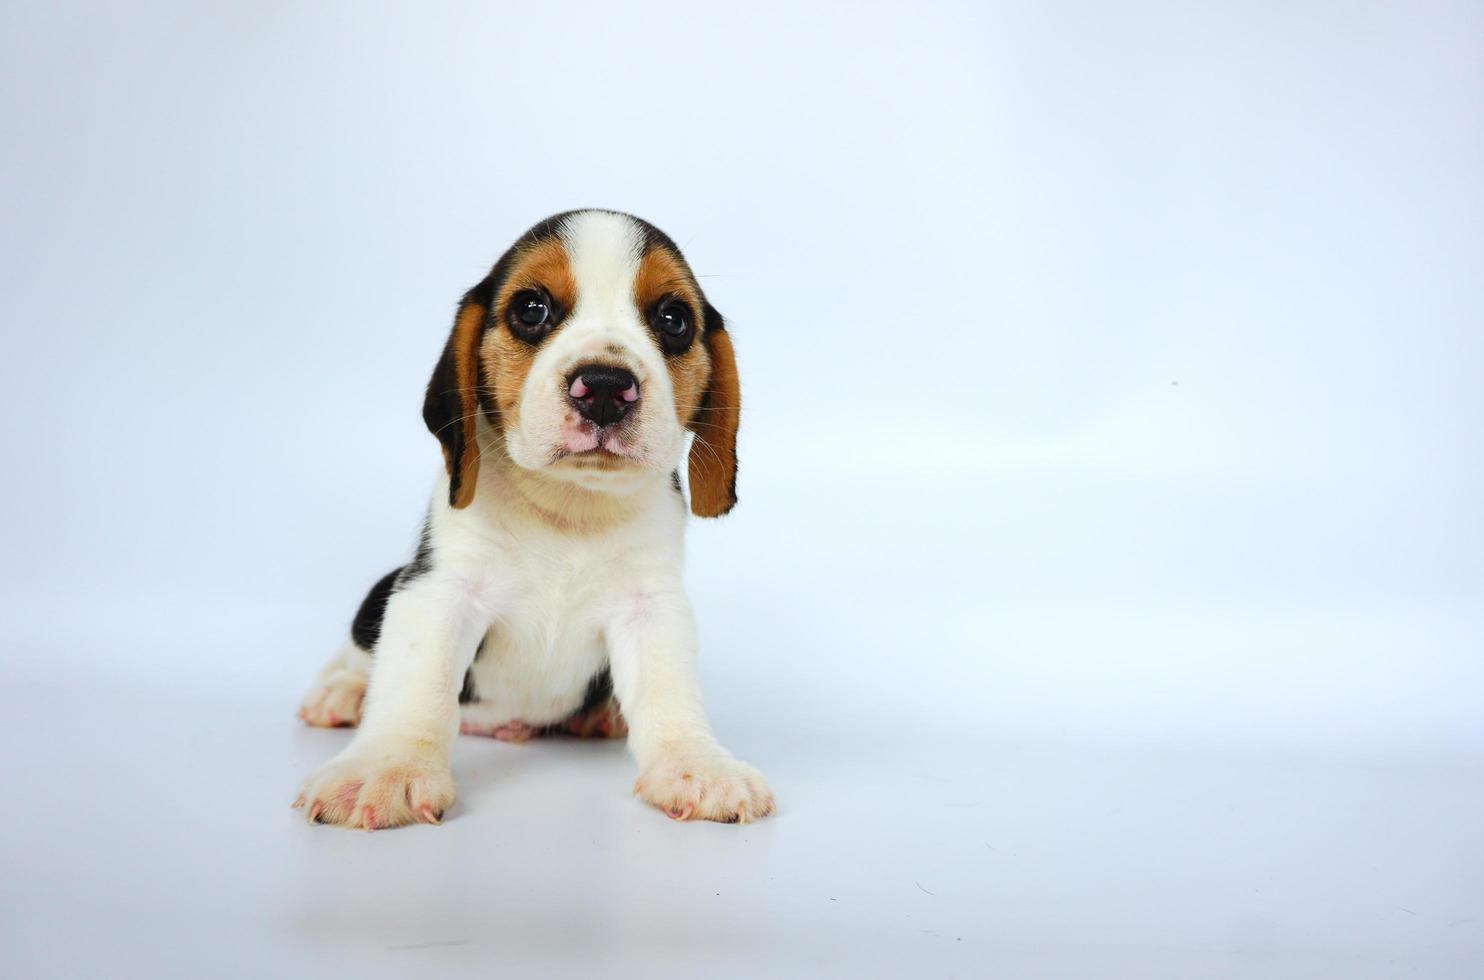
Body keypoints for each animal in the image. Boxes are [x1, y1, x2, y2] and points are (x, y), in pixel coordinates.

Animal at [292, 210, 777, 831]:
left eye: (673, 320)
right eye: (531, 309)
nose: (604, 387)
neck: (570, 505)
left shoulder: (651, 606)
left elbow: (669, 693)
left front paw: (696, 765)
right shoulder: (438, 589)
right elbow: (417, 683)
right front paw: (387, 768)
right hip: (381, 591)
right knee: (360, 653)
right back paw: (343, 693)